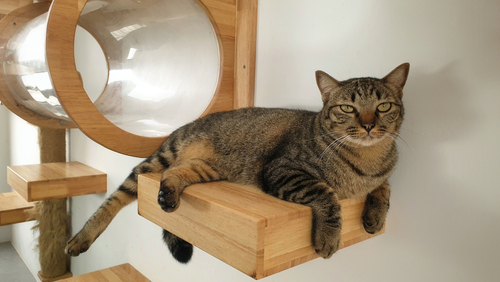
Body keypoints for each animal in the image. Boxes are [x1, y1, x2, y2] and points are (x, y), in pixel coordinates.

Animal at [65, 62, 410, 262]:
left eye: (383, 106)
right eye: (348, 108)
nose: (369, 125)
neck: (365, 160)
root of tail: (185, 126)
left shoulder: (381, 175)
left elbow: (385, 188)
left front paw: (375, 216)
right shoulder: (283, 171)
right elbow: (327, 196)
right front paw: (328, 237)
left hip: (206, 168)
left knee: (175, 172)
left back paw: (168, 195)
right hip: (164, 155)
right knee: (117, 197)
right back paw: (80, 239)